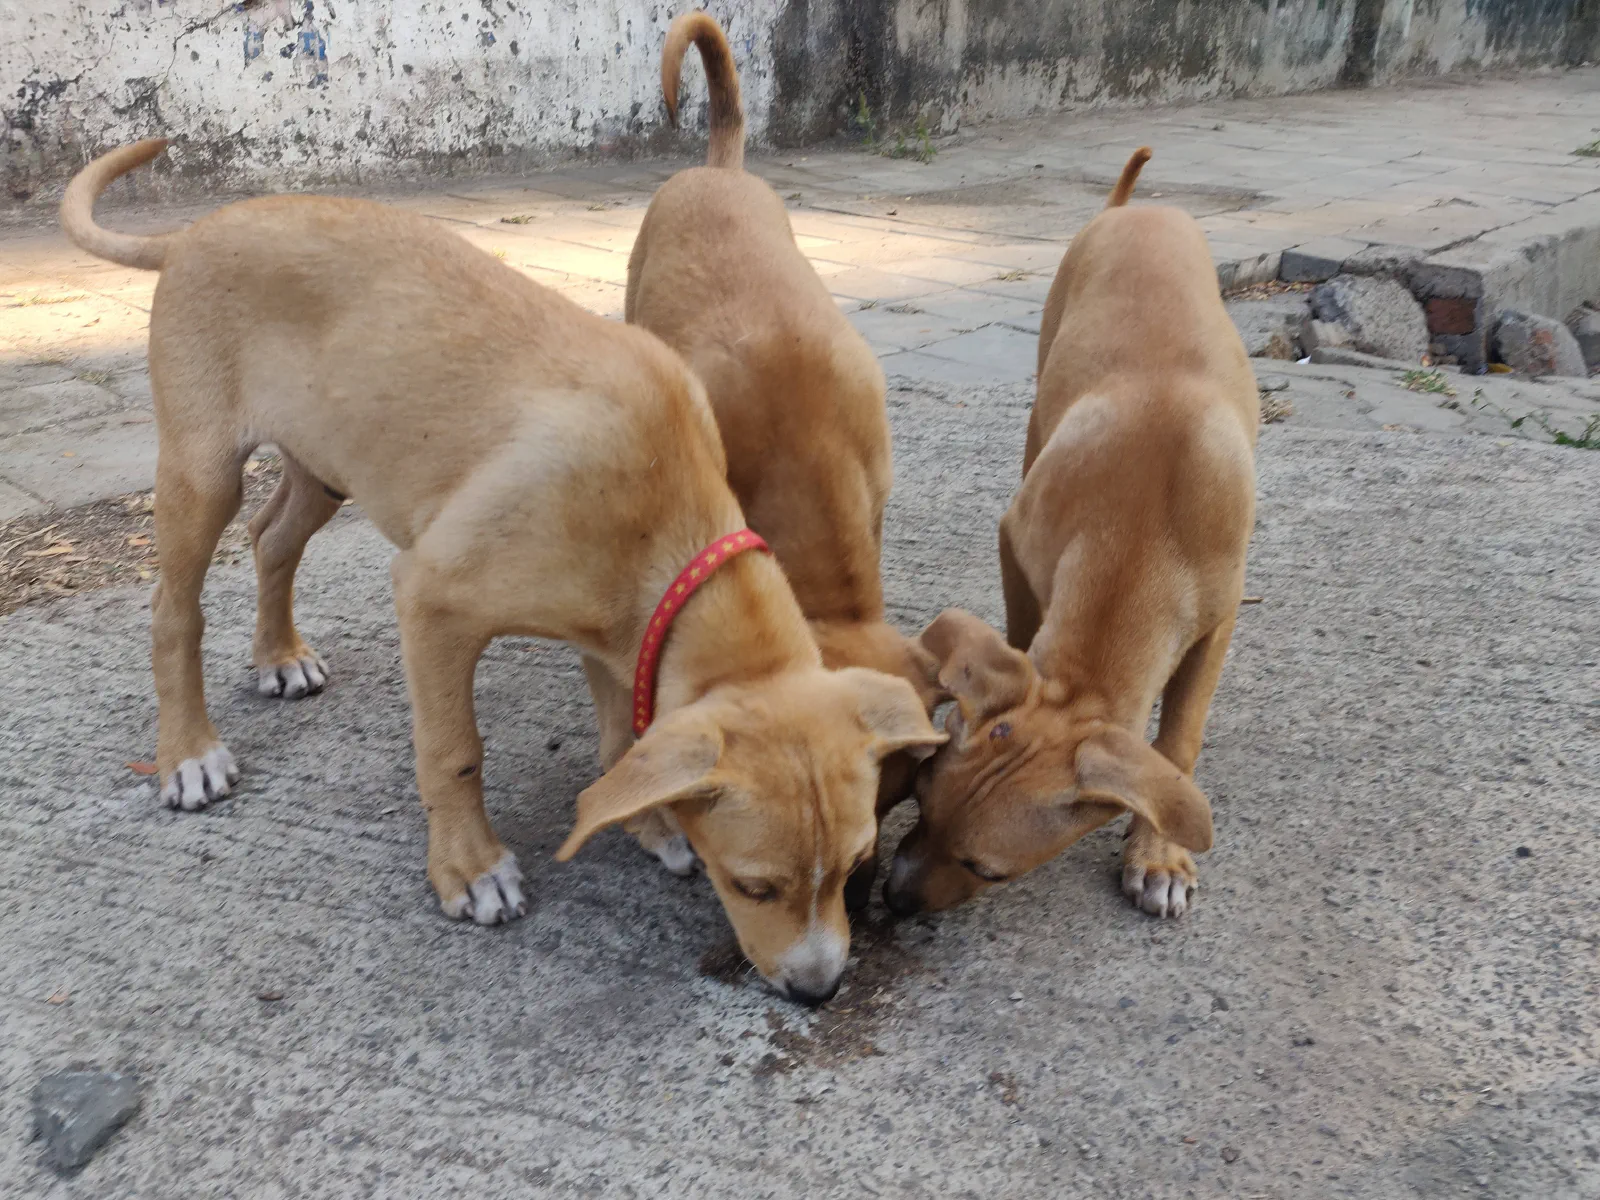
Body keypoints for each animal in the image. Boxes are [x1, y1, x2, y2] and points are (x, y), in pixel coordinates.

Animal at [59, 138, 934, 1004]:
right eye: (756, 886)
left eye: (855, 864)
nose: (819, 990)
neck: (665, 502)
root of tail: (195, 232)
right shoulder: (433, 600)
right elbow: (456, 751)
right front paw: (471, 870)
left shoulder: (621, 628)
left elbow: (622, 735)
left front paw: (647, 821)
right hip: (201, 468)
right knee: (175, 611)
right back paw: (190, 755)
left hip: (328, 463)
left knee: (272, 537)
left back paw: (279, 656)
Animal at [883, 150, 1254, 921]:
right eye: (921, 800)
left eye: (987, 870)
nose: (892, 900)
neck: (1145, 544)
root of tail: (1134, 208)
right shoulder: (1017, 539)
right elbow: (1021, 637)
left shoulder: (1221, 612)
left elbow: (1178, 739)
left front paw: (1158, 853)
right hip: (1041, 383)